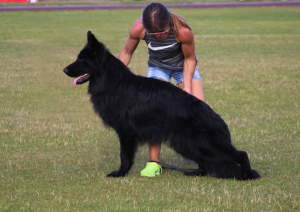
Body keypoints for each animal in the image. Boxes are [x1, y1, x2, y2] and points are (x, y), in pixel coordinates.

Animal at [63, 31, 260, 181]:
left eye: (82, 60)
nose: (64, 70)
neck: (112, 82)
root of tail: (219, 122)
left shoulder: (125, 133)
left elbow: (124, 156)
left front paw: (120, 173)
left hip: (204, 144)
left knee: (241, 154)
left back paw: (247, 174)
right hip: (189, 144)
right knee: (205, 162)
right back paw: (197, 173)